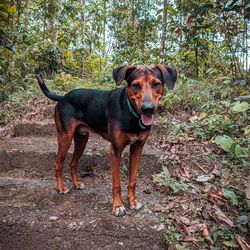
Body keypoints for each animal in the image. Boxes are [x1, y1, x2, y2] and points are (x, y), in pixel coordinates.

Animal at [36, 65, 178, 217]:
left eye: (156, 84)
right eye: (135, 85)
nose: (148, 109)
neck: (131, 113)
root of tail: (63, 97)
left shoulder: (137, 148)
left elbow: (133, 180)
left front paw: (133, 201)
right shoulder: (115, 150)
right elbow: (116, 183)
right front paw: (118, 206)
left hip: (82, 138)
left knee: (73, 163)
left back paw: (76, 183)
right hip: (65, 138)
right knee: (58, 164)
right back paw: (61, 187)